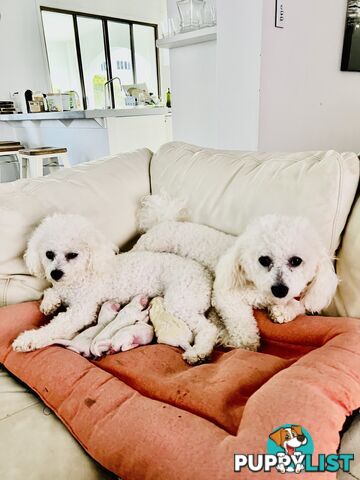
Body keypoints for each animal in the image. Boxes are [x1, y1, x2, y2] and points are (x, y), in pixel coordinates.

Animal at [11, 214, 217, 364]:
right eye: (49, 254)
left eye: (72, 255)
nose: (55, 274)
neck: (82, 274)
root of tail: (205, 273)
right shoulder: (62, 289)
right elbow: (51, 291)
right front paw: (50, 303)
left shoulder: (81, 311)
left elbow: (56, 326)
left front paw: (29, 339)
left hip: (180, 301)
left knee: (209, 329)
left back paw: (199, 352)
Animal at [134, 193, 338, 350]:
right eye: (264, 260)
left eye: (296, 261)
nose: (280, 289)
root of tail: (163, 221)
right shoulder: (226, 296)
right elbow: (242, 322)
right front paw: (245, 343)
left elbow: (301, 305)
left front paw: (282, 312)